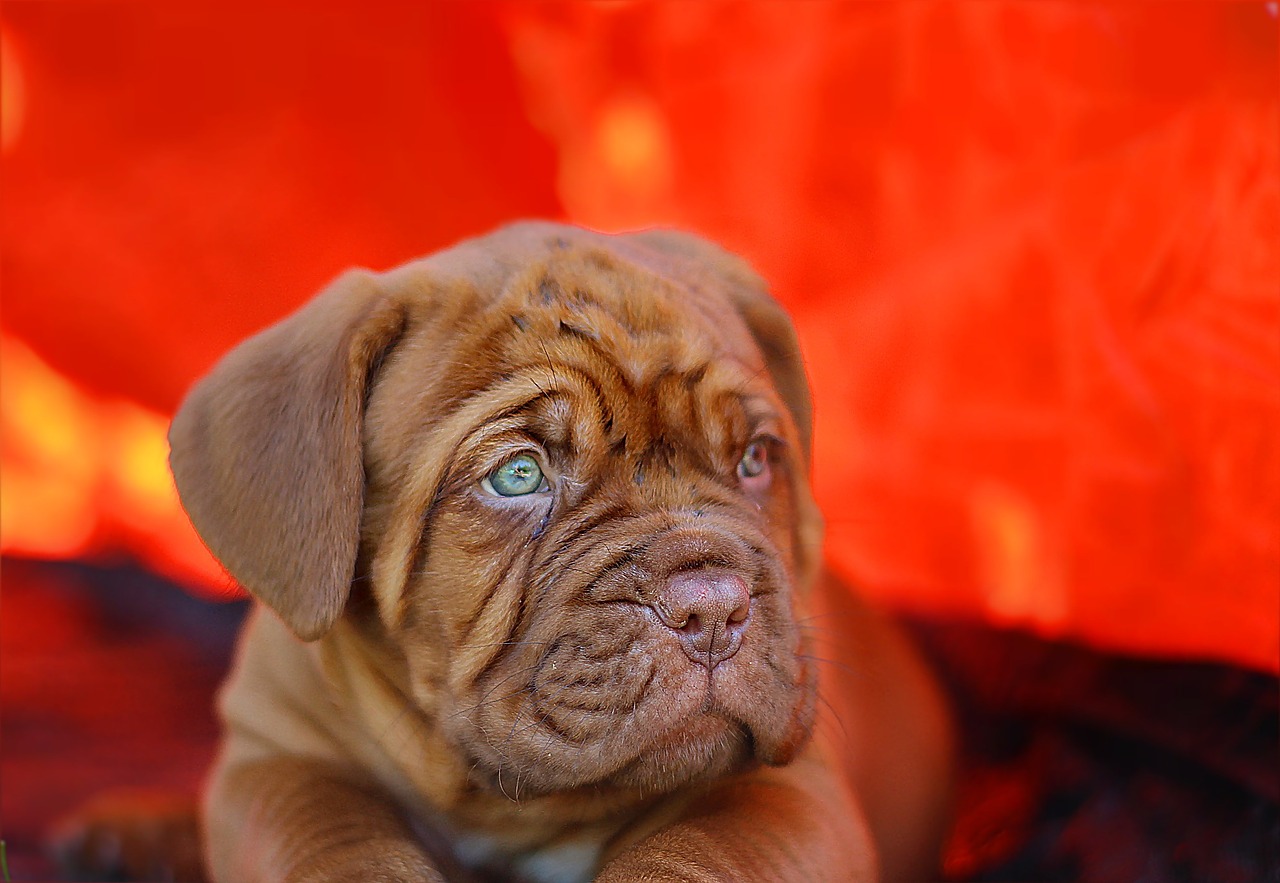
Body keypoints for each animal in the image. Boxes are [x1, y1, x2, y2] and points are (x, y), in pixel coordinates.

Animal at [165, 223, 957, 875]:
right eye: (518, 475)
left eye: (756, 458)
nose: (711, 608)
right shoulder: (275, 763)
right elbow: (336, 847)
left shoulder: (792, 795)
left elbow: (694, 855)